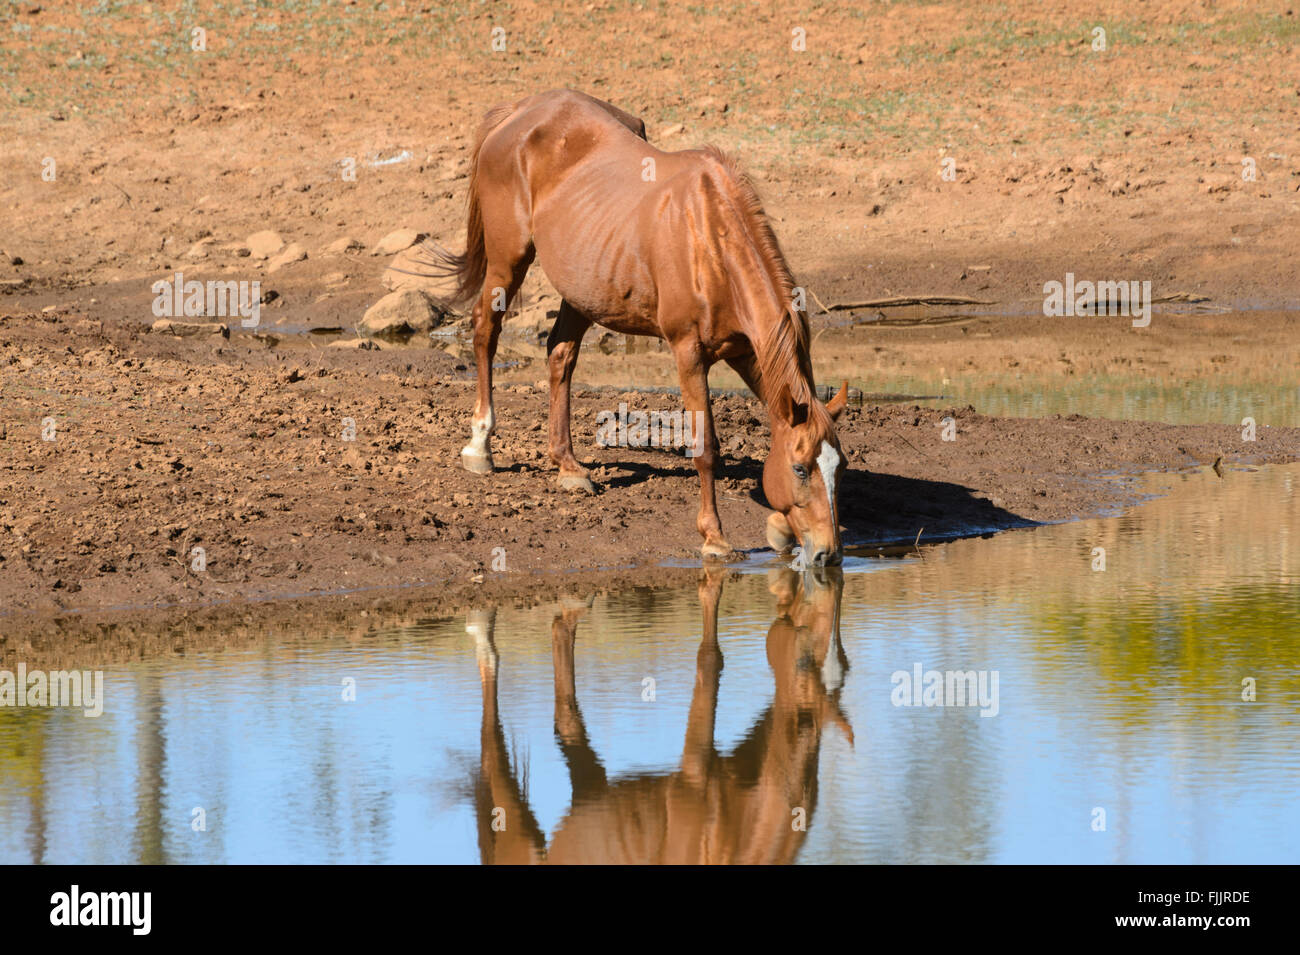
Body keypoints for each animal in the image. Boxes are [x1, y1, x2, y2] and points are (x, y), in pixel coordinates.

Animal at [410, 89, 847, 563]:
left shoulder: (747, 351)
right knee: (485, 333)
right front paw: (714, 537)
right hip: (508, 261)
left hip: (583, 285)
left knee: (560, 354)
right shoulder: (689, 353)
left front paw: (780, 530)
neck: (710, 240)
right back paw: (480, 446)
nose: (829, 553)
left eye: (839, 467)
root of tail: (523, 111)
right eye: (800, 469)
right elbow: (705, 448)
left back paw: (568, 466)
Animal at [467, 566, 852, 867]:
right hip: (517, 836)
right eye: (803, 720)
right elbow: (710, 659)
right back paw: (481, 624)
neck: (740, 829)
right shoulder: (693, 776)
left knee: (563, 673)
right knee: (493, 753)